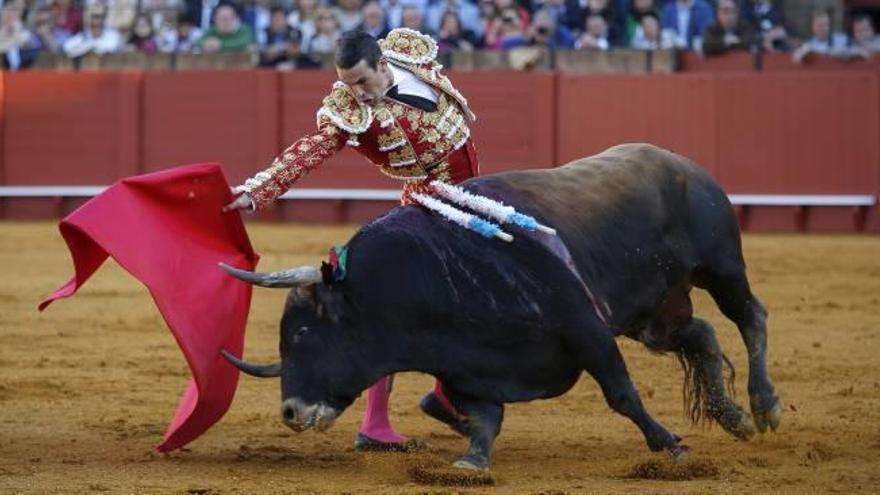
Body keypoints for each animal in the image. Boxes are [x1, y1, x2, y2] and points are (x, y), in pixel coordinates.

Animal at [220, 144, 784, 472]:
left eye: (301, 334)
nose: (290, 413)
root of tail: (679, 162)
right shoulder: (468, 364)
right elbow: (482, 417)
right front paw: (471, 461)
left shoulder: (586, 329)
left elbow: (621, 394)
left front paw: (669, 444)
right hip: (652, 312)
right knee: (701, 333)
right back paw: (734, 417)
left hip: (720, 265)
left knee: (750, 317)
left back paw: (763, 406)